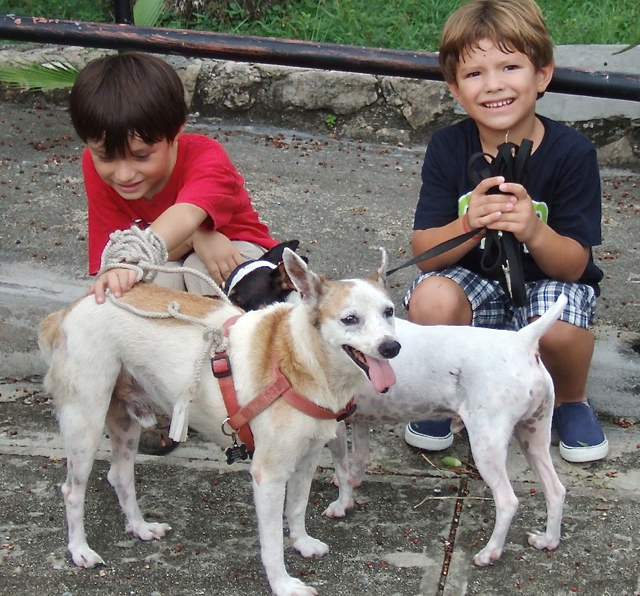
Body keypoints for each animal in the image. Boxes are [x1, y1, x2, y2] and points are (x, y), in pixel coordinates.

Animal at [38, 248, 400, 596]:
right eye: (350, 319)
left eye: (389, 312)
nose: (392, 347)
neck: (301, 357)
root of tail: (70, 309)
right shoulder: (268, 475)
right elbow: (272, 543)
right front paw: (282, 584)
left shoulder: (306, 460)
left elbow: (296, 508)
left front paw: (302, 543)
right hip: (85, 423)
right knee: (72, 490)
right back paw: (80, 550)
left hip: (125, 424)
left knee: (120, 476)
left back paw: (140, 528)